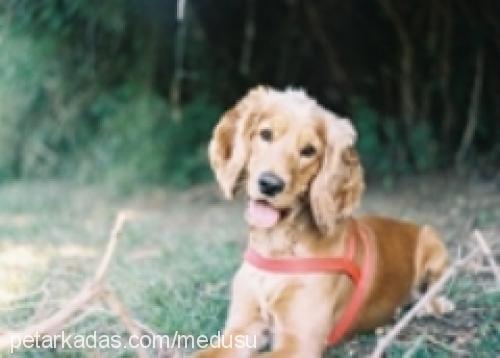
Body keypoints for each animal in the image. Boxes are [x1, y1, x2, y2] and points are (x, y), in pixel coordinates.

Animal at [195, 87, 454, 358]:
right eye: (266, 134)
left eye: (308, 150)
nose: (270, 184)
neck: (277, 247)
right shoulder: (240, 329)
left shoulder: (298, 343)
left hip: (433, 241)